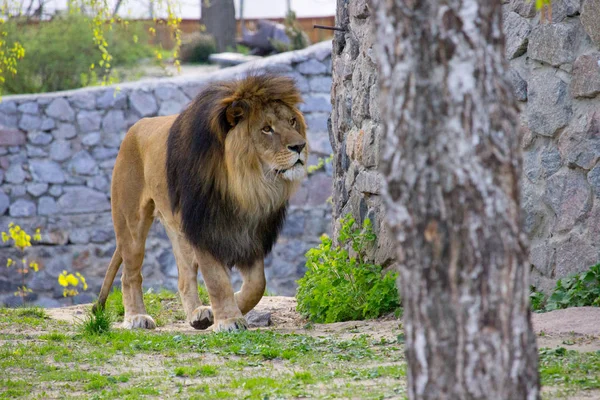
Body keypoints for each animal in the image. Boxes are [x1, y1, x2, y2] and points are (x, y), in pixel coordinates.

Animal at [95, 74, 310, 332]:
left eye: (292, 121)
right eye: (267, 129)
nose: (300, 146)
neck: (246, 185)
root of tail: (136, 127)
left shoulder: (251, 232)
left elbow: (257, 284)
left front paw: (223, 310)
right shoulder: (203, 229)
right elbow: (217, 281)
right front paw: (228, 320)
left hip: (179, 231)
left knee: (184, 277)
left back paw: (198, 314)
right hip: (131, 224)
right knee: (130, 275)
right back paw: (136, 317)